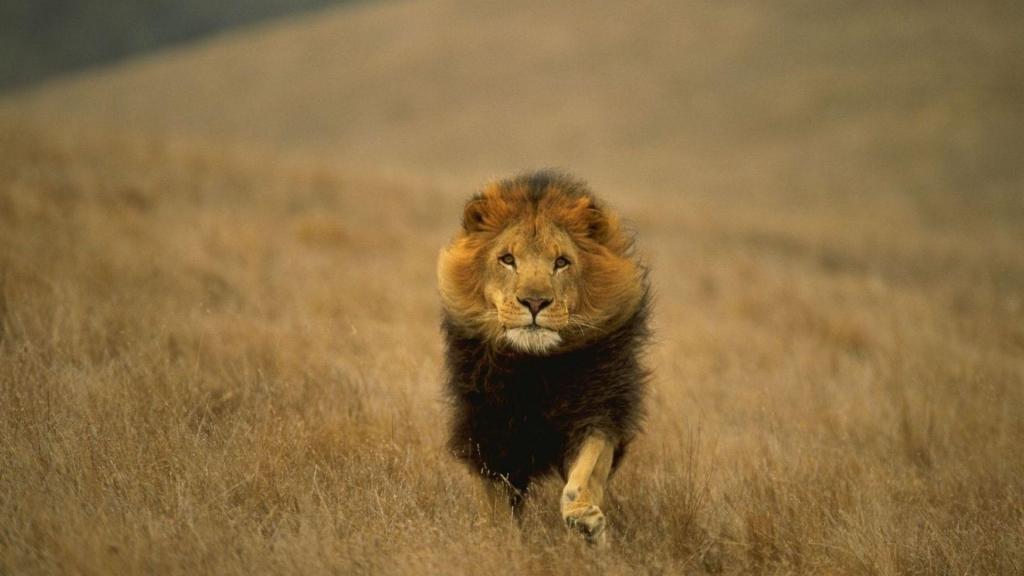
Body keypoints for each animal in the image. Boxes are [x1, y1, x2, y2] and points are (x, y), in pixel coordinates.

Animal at [438, 170, 650, 546]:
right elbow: (495, 505)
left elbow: (585, 472)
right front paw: (500, 542)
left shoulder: (598, 410)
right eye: (507, 259)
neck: (534, 368)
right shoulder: (488, 432)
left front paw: (584, 519)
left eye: (561, 262)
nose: (534, 302)